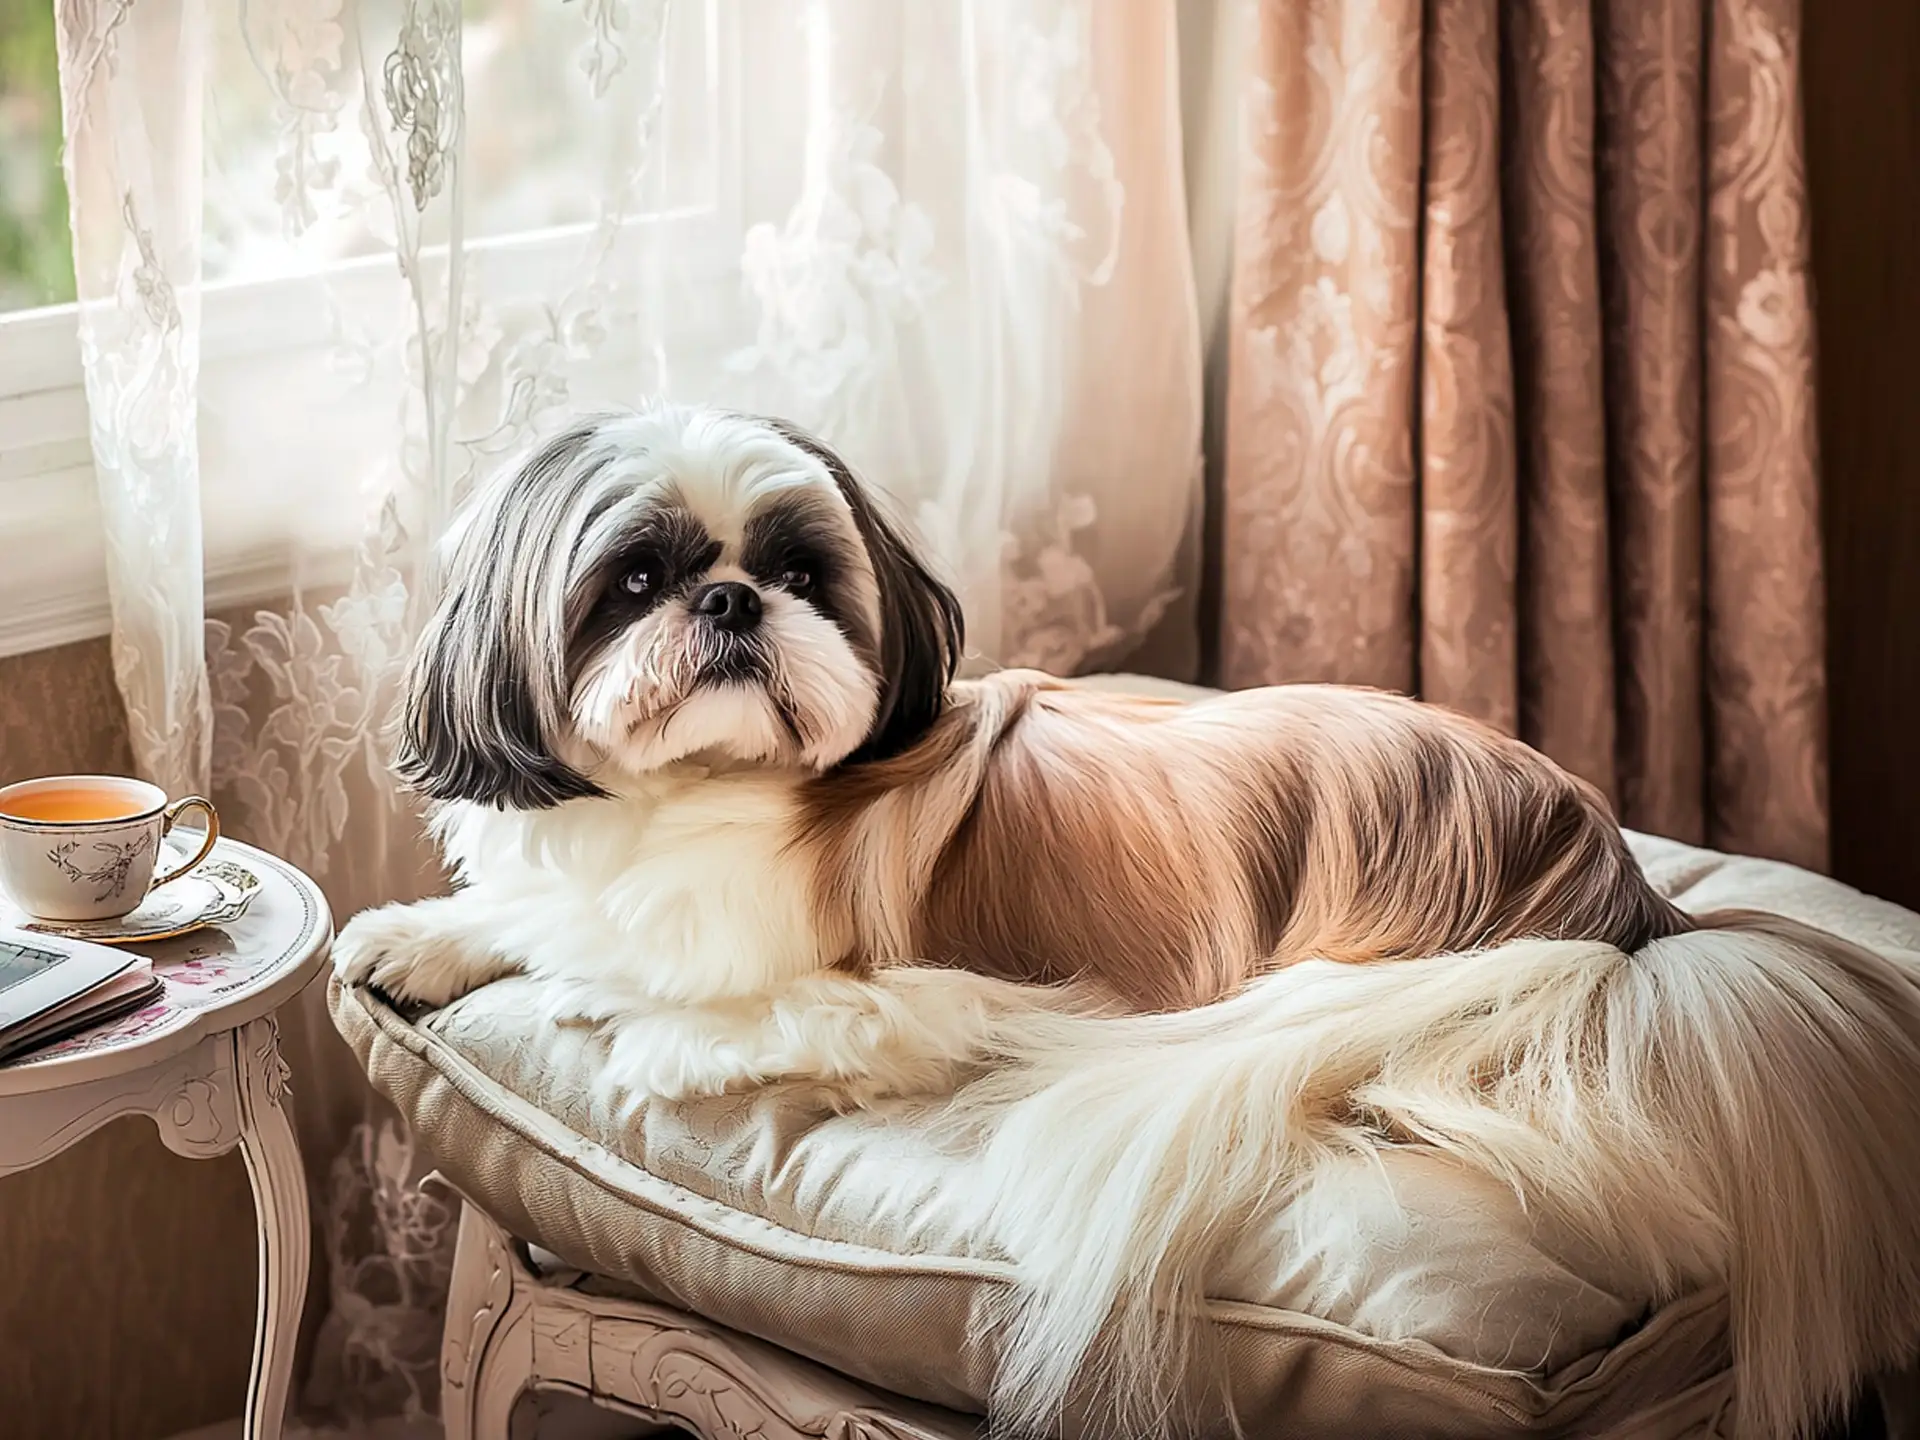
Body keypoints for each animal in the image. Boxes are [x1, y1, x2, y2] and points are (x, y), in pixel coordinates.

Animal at [337, 403, 1920, 1440]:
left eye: (798, 573)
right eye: (638, 581)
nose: (730, 604)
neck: (712, 795)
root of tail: (1621, 896)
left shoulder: (949, 987)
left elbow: (738, 1001)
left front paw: (649, 1027)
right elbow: (552, 917)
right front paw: (427, 939)